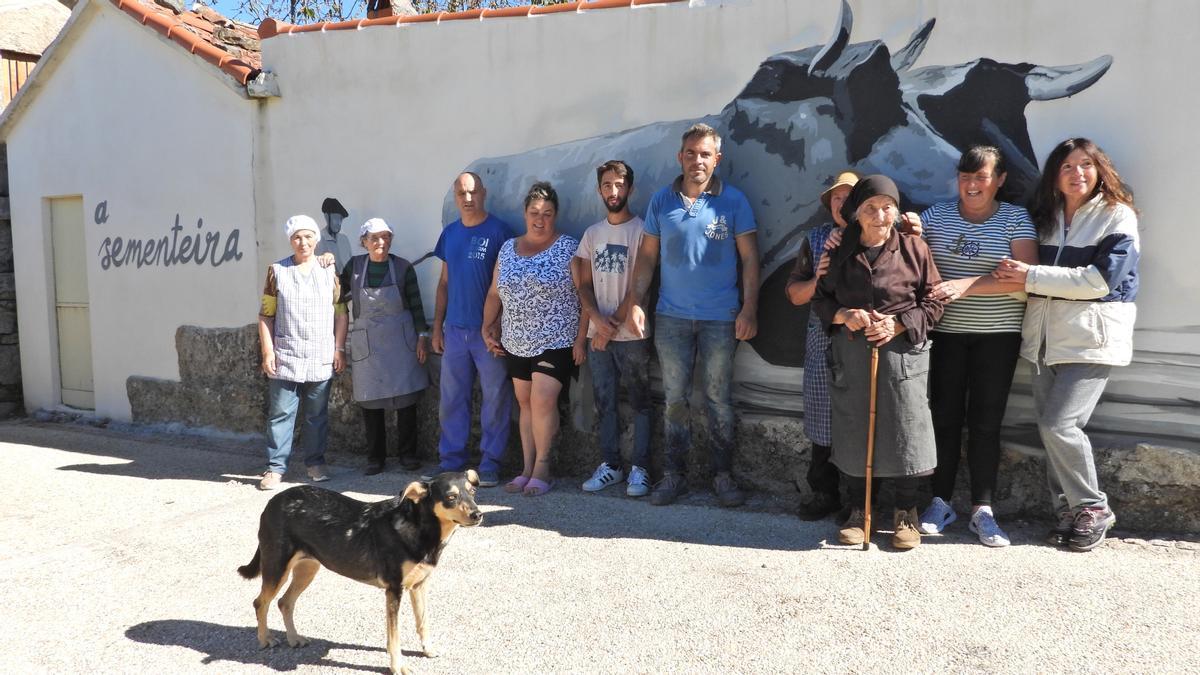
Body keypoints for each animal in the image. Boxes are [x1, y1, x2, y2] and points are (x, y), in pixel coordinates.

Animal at [236, 468, 480, 672]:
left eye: (473, 492)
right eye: (451, 497)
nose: (478, 515)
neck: (420, 528)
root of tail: (273, 501)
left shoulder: (419, 586)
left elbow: (423, 622)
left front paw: (428, 650)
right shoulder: (394, 591)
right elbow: (395, 637)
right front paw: (398, 666)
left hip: (308, 568)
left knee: (284, 602)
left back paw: (294, 638)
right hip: (276, 567)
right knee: (260, 602)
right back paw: (265, 640)